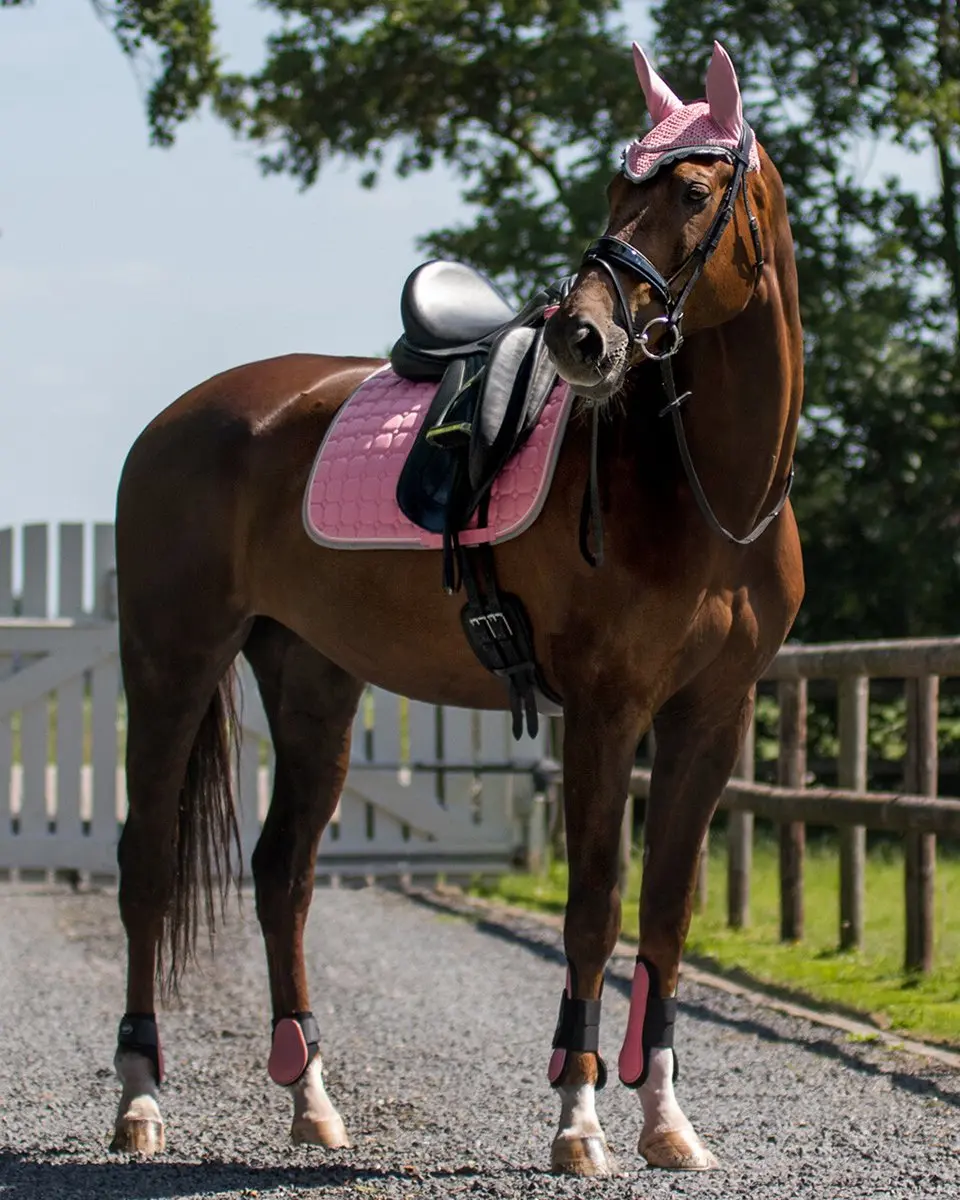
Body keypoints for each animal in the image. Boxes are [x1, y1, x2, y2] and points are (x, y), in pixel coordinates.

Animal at [108, 39, 803, 1177]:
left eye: (694, 191)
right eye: (616, 190)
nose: (582, 337)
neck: (701, 490)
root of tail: (180, 420)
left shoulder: (714, 716)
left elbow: (667, 913)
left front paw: (666, 1123)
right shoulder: (606, 713)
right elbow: (594, 907)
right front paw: (578, 1119)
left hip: (312, 681)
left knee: (283, 876)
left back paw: (311, 1101)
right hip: (172, 664)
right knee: (148, 871)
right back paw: (138, 1100)